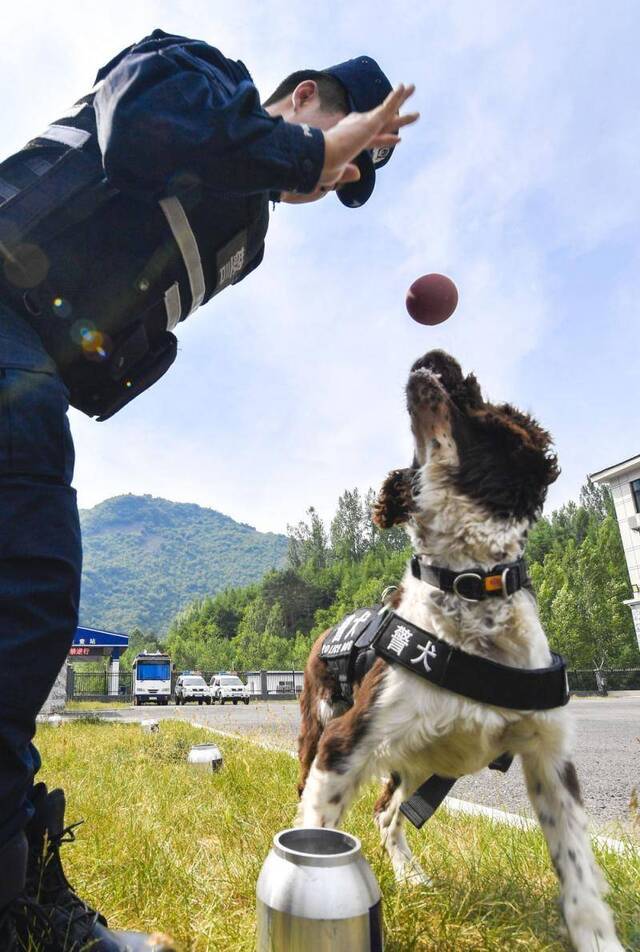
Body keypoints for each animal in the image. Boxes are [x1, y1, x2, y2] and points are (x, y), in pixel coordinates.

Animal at [298, 350, 624, 952]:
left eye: (475, 393)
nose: (433, 356)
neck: (471, 587)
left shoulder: (550, 756)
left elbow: (579, 872)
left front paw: (596, 937)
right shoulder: (345, 741)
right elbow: (314, 831)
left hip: (415, 762)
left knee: (386, 812)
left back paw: (411, 876)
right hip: (321, 728)